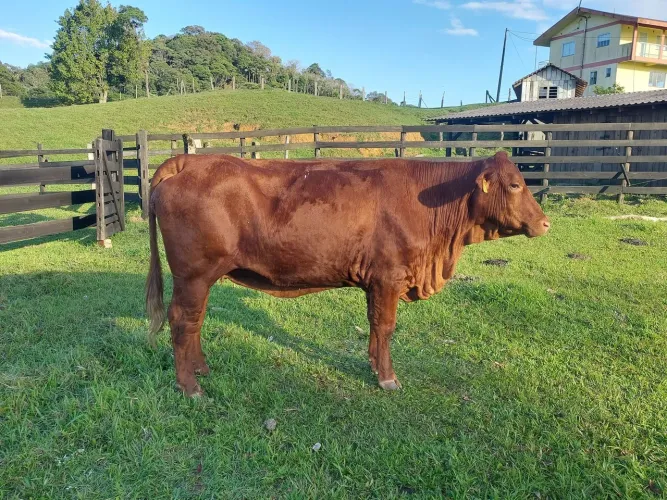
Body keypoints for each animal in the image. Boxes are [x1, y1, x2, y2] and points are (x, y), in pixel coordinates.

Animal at [146, 151, 550, 396]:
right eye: (515, 184)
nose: (545, 223)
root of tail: (188, 159)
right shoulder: (389, 276)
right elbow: (386, 326)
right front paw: (388, 378)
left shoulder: (375, 281)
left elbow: (374, 325)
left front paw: (373, 365)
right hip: (193, 274)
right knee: (181, 320)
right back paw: (190, 387)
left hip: (202, 277)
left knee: (195, 321)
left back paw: (201, 369)